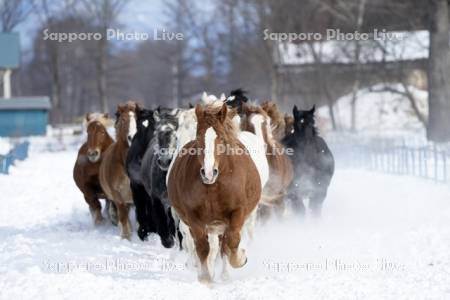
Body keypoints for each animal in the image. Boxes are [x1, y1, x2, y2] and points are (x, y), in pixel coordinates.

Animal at [167, 102, 262, 282]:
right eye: (198, 139)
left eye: (222, 139)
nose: (209, 173)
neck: (213, 188)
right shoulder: (194, 219)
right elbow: (202, 248)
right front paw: (205, 277)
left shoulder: (237, 213)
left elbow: (232, 242)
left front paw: (240, 259)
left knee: (224, 245)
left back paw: (225, 274)